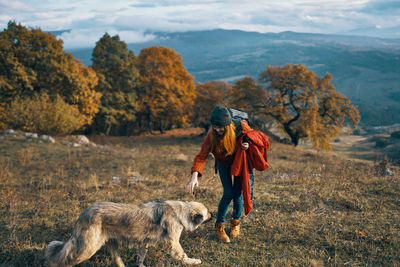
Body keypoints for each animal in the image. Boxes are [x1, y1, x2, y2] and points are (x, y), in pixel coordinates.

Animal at [45, 200, 211, 266]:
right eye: (208, 212)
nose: (214, 214)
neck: (181, 212)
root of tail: (84, 213)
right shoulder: (174, 244)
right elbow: (183, 256)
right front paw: (194, 261)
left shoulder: (144, 243)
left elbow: (140, 257)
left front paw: (141, 265)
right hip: (87, 248)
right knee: (62, 258)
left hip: (110, 243)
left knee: (116, 259)